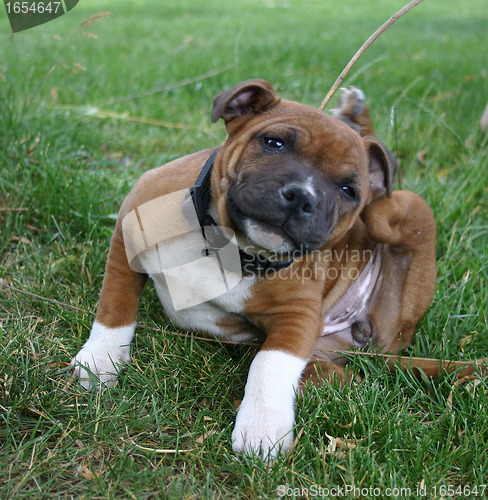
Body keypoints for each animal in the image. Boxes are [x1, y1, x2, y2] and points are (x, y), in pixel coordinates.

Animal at [70, 80, 436, 458]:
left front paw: (262, 426)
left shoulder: (297, 316)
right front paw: (101, 358)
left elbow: (270, 364)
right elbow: (116, 301)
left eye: (348, 190)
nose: (303, 197)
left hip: (407, 214)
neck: (227, 245)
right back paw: (359, 121)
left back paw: (360, 126)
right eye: (274, 143)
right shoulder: (126, 236)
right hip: (331, 366)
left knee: (383, 204)